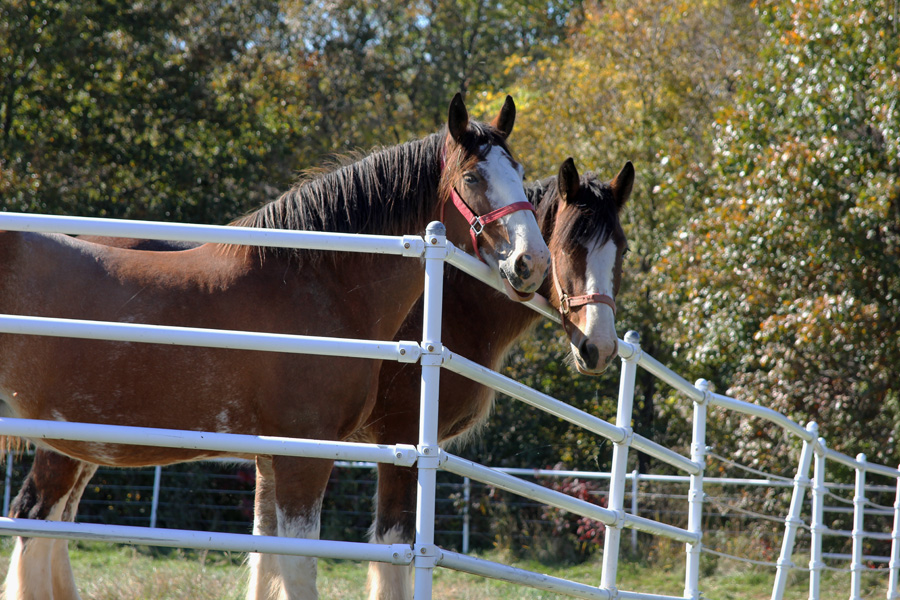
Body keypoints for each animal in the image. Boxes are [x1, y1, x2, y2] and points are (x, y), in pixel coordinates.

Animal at [0, 93, 550, 600]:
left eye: (520, 173)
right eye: (474, 178)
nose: (533, 263)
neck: (314, 280)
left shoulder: (271, 457)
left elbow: (267, 557)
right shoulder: (306, 455)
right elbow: (299, 566)